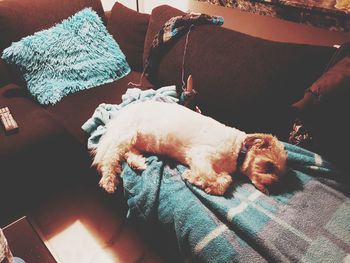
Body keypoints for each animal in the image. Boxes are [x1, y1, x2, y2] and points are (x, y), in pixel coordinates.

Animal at [92, 101, 288, 196]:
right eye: (269, 166)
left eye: (281, 175)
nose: (275, 185)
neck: (239, 151)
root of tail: (121, 114)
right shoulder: (200, 156)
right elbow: (216, 177)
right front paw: (196, 178)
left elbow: (224, 179)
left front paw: (206, 183)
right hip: (126, 135)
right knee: (109, 159)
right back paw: (109, 181)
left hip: (134, 140)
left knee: (128, 152)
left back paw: (137, 163)